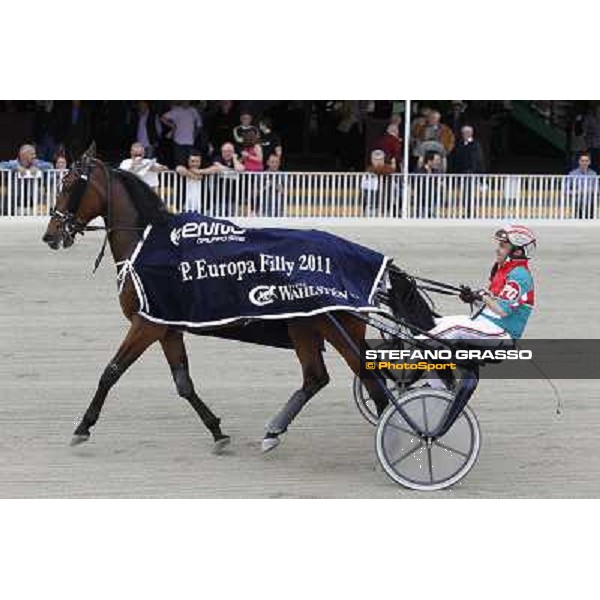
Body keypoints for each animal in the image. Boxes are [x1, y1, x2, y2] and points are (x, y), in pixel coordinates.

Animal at [43, 148, 390, 452]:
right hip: (305, 327)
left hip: (333, 328)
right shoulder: (166, 328)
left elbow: (111, 372)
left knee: (371, 379)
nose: (51, 234)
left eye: (69, 183)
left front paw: (83, 427)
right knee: (319, 377)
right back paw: (274, 432)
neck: (149, 246)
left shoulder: (146, 324)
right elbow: (183, 383)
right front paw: (217, 431)